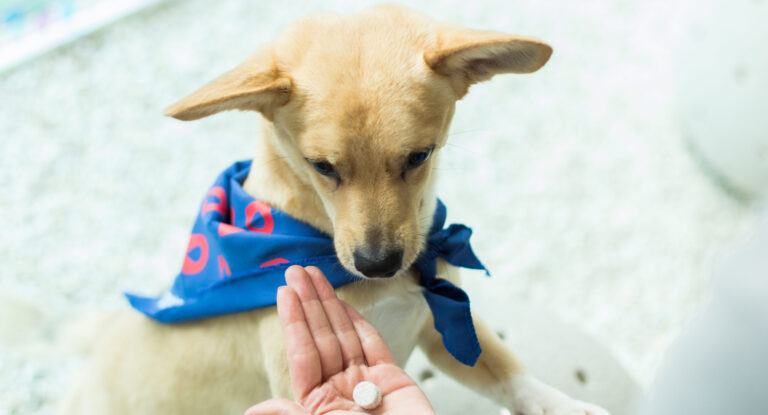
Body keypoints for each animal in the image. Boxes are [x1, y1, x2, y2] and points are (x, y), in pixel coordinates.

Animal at [58, 5, 612, 415]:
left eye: (420, 156)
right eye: (321, 166)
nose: (377, 264)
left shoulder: (438, 327)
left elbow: (512, 374)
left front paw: (566, 407)